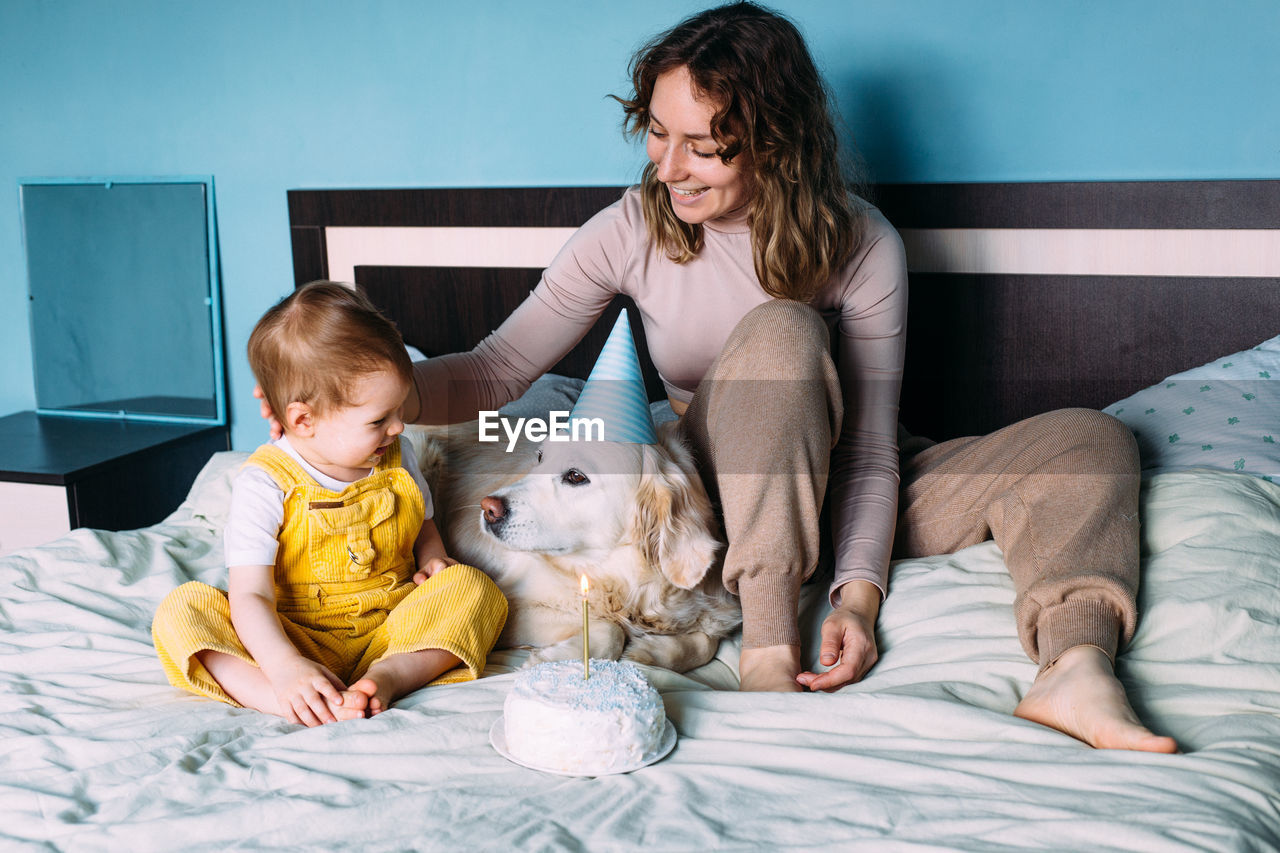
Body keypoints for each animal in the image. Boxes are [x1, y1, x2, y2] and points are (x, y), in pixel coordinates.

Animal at [404, 420, 747, 671]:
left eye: (575, 476)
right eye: (540, 458)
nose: (487, 508)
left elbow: (706, 642)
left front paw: (650, 652)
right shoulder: (510, 602)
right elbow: (610, 630)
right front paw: (552, 658)